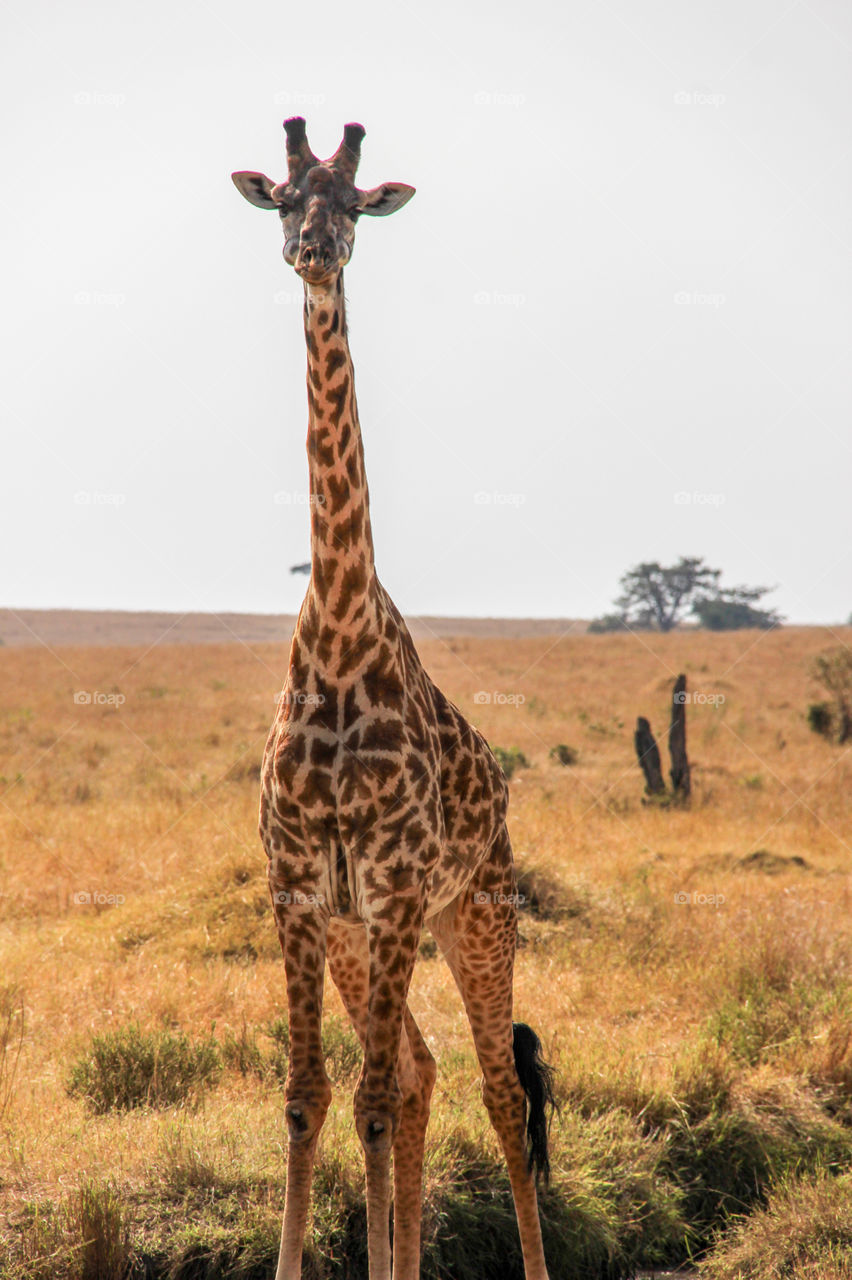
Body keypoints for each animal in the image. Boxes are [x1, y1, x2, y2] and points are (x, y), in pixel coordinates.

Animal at [232, 117, 555, 1280]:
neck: (335, 635)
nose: (314, 252)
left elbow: (367, 1096)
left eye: (355, 204)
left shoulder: (399, 879)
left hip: (473, 909)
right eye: (286, 197)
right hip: (361, 930)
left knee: (499, 1089)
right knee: (419, 1069)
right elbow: (306, 1093)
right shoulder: (297, 882)